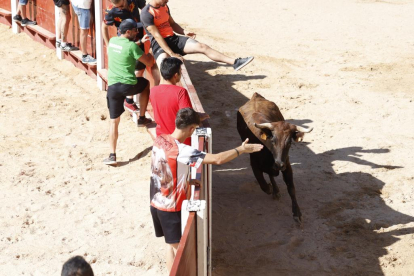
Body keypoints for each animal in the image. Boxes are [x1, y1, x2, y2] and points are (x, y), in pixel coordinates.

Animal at [238, 92, 312, 222]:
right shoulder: (254, 165)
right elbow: (264, 185)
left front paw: (297, 213)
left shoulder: (287, 165)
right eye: (273, 140)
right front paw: (270, 187)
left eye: (289, 142)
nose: (279, 164)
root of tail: (255, 96)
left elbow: (291, 189)